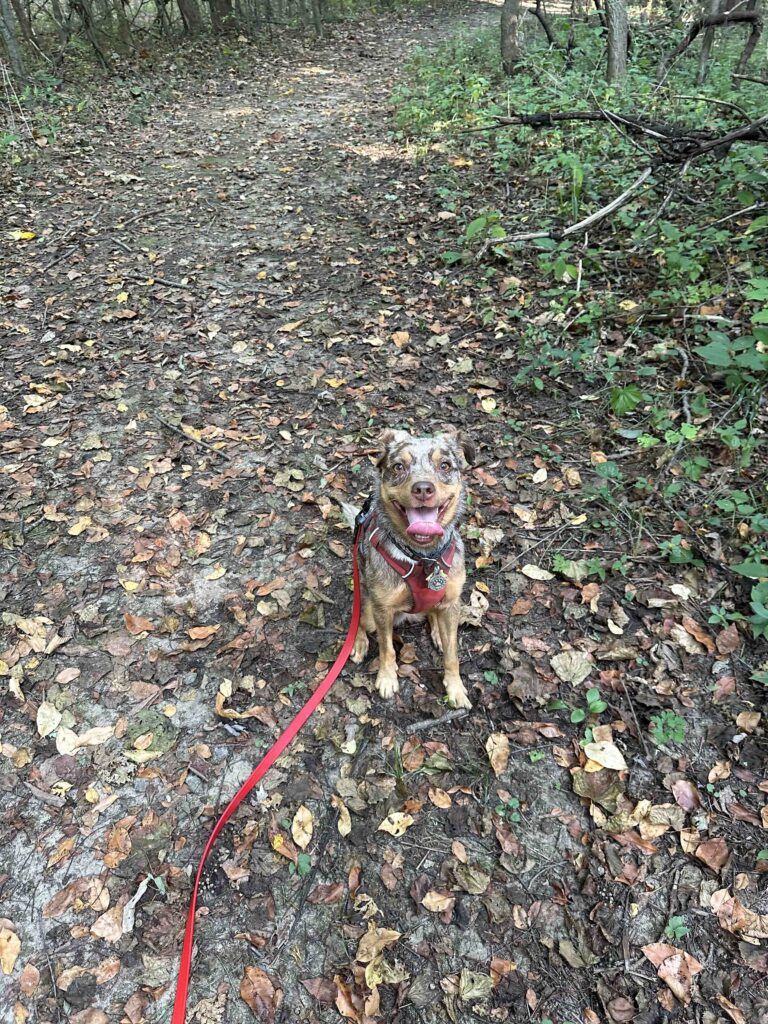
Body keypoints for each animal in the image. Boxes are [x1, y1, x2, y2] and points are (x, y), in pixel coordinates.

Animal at [348, 428, 475, 708]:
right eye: (398, 466)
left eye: (445, 465)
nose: (423, 488)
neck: (423, 558)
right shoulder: (383, 609)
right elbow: (386, 648)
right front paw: (387, 678)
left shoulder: (452, 602)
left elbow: (452, 654)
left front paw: (456, 688)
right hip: (367, 604)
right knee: (361, 622)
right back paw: (359, 643)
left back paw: (437, 632)